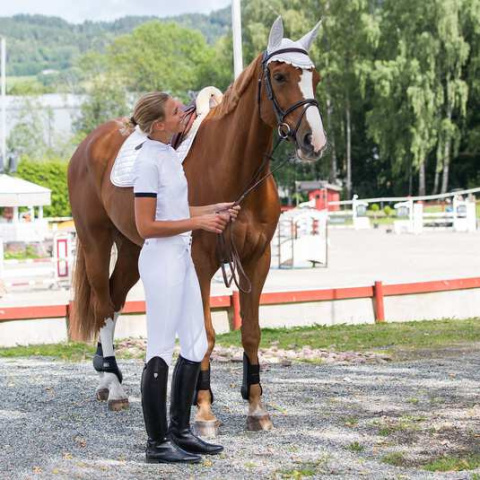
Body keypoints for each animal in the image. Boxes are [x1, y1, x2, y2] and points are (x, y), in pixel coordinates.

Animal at [67, 16, 326, 434]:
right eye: (280, 75)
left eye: (314, 77)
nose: (312, 141)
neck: (233, 168)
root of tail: (89, 144)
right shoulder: (202, 261)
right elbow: (204, 334)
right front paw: (203, 412)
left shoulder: (257, 259)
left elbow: (251, 333)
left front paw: (256, 407)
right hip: (96, 242)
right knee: (105, 307)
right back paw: (115, 388)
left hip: (132, 249)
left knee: (116, 300)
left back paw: (110, 380)